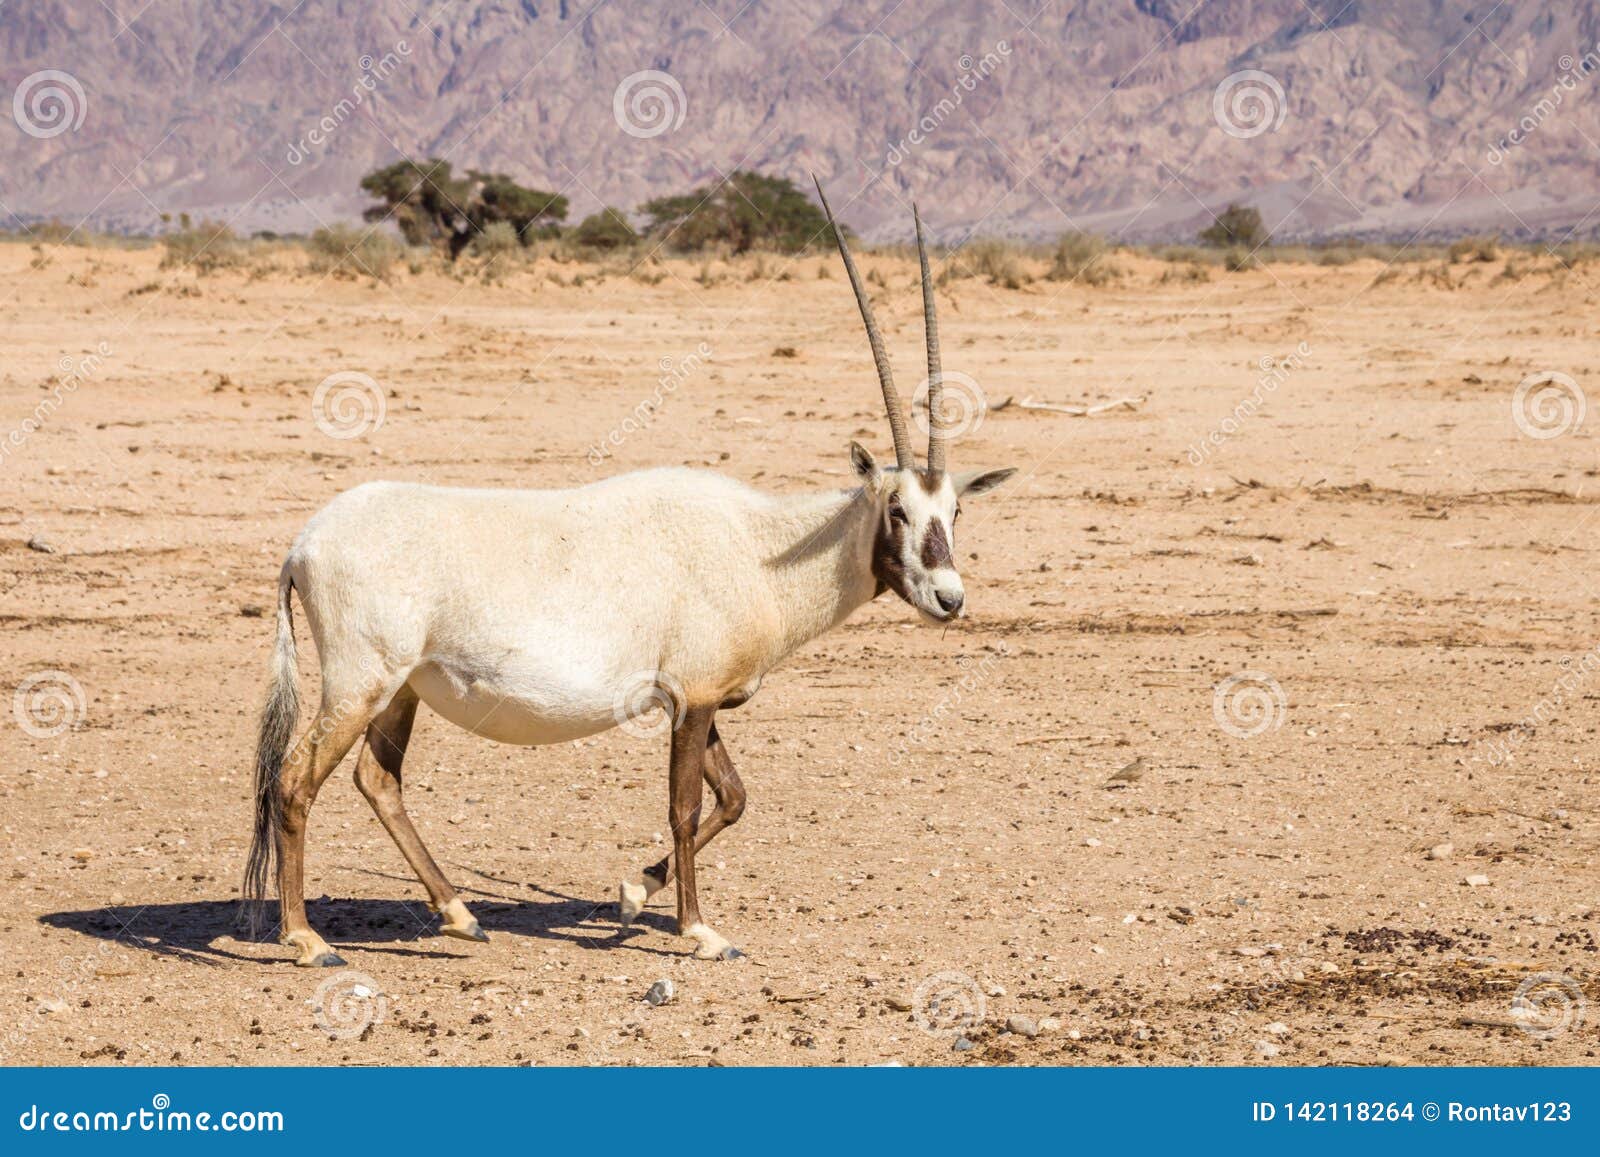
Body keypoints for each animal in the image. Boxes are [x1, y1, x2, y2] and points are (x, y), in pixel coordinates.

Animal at [243, 185, 1011, 966]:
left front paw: (633, 893)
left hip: (400, 688)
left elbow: (734, 798)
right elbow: (687, 806)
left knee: (378, 780)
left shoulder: (698, 700)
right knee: (295, 781)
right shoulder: (693, 697)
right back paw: (307, 938)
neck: (759, 547)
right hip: (358, 683)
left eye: (953, 509)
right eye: (896, 510)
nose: (949, 598)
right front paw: (700, 930)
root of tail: (302, 546)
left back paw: (459, 914)